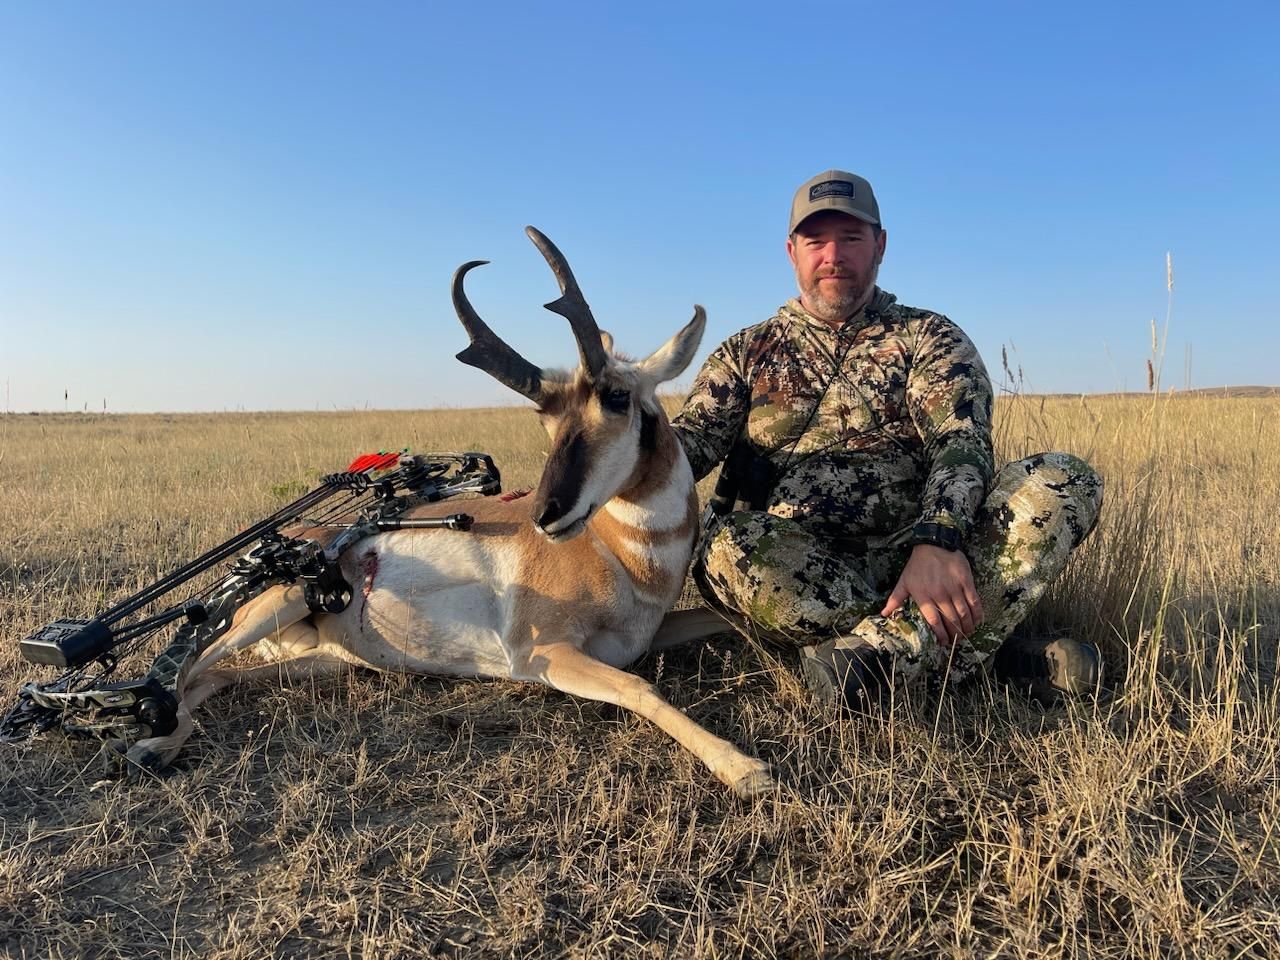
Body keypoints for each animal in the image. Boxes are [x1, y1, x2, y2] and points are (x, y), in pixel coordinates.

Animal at [116, 226, 776, 799]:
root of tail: (303, 536)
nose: (545, 514)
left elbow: (731, 622)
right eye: (545, 419)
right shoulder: (548, 655)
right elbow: (643, 689)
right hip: (273, 605)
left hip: (322, 661)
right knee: (181, 671)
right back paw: (150, 745)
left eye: (617, 396)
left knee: (215, 676)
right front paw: (747, 769)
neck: (623, 559)